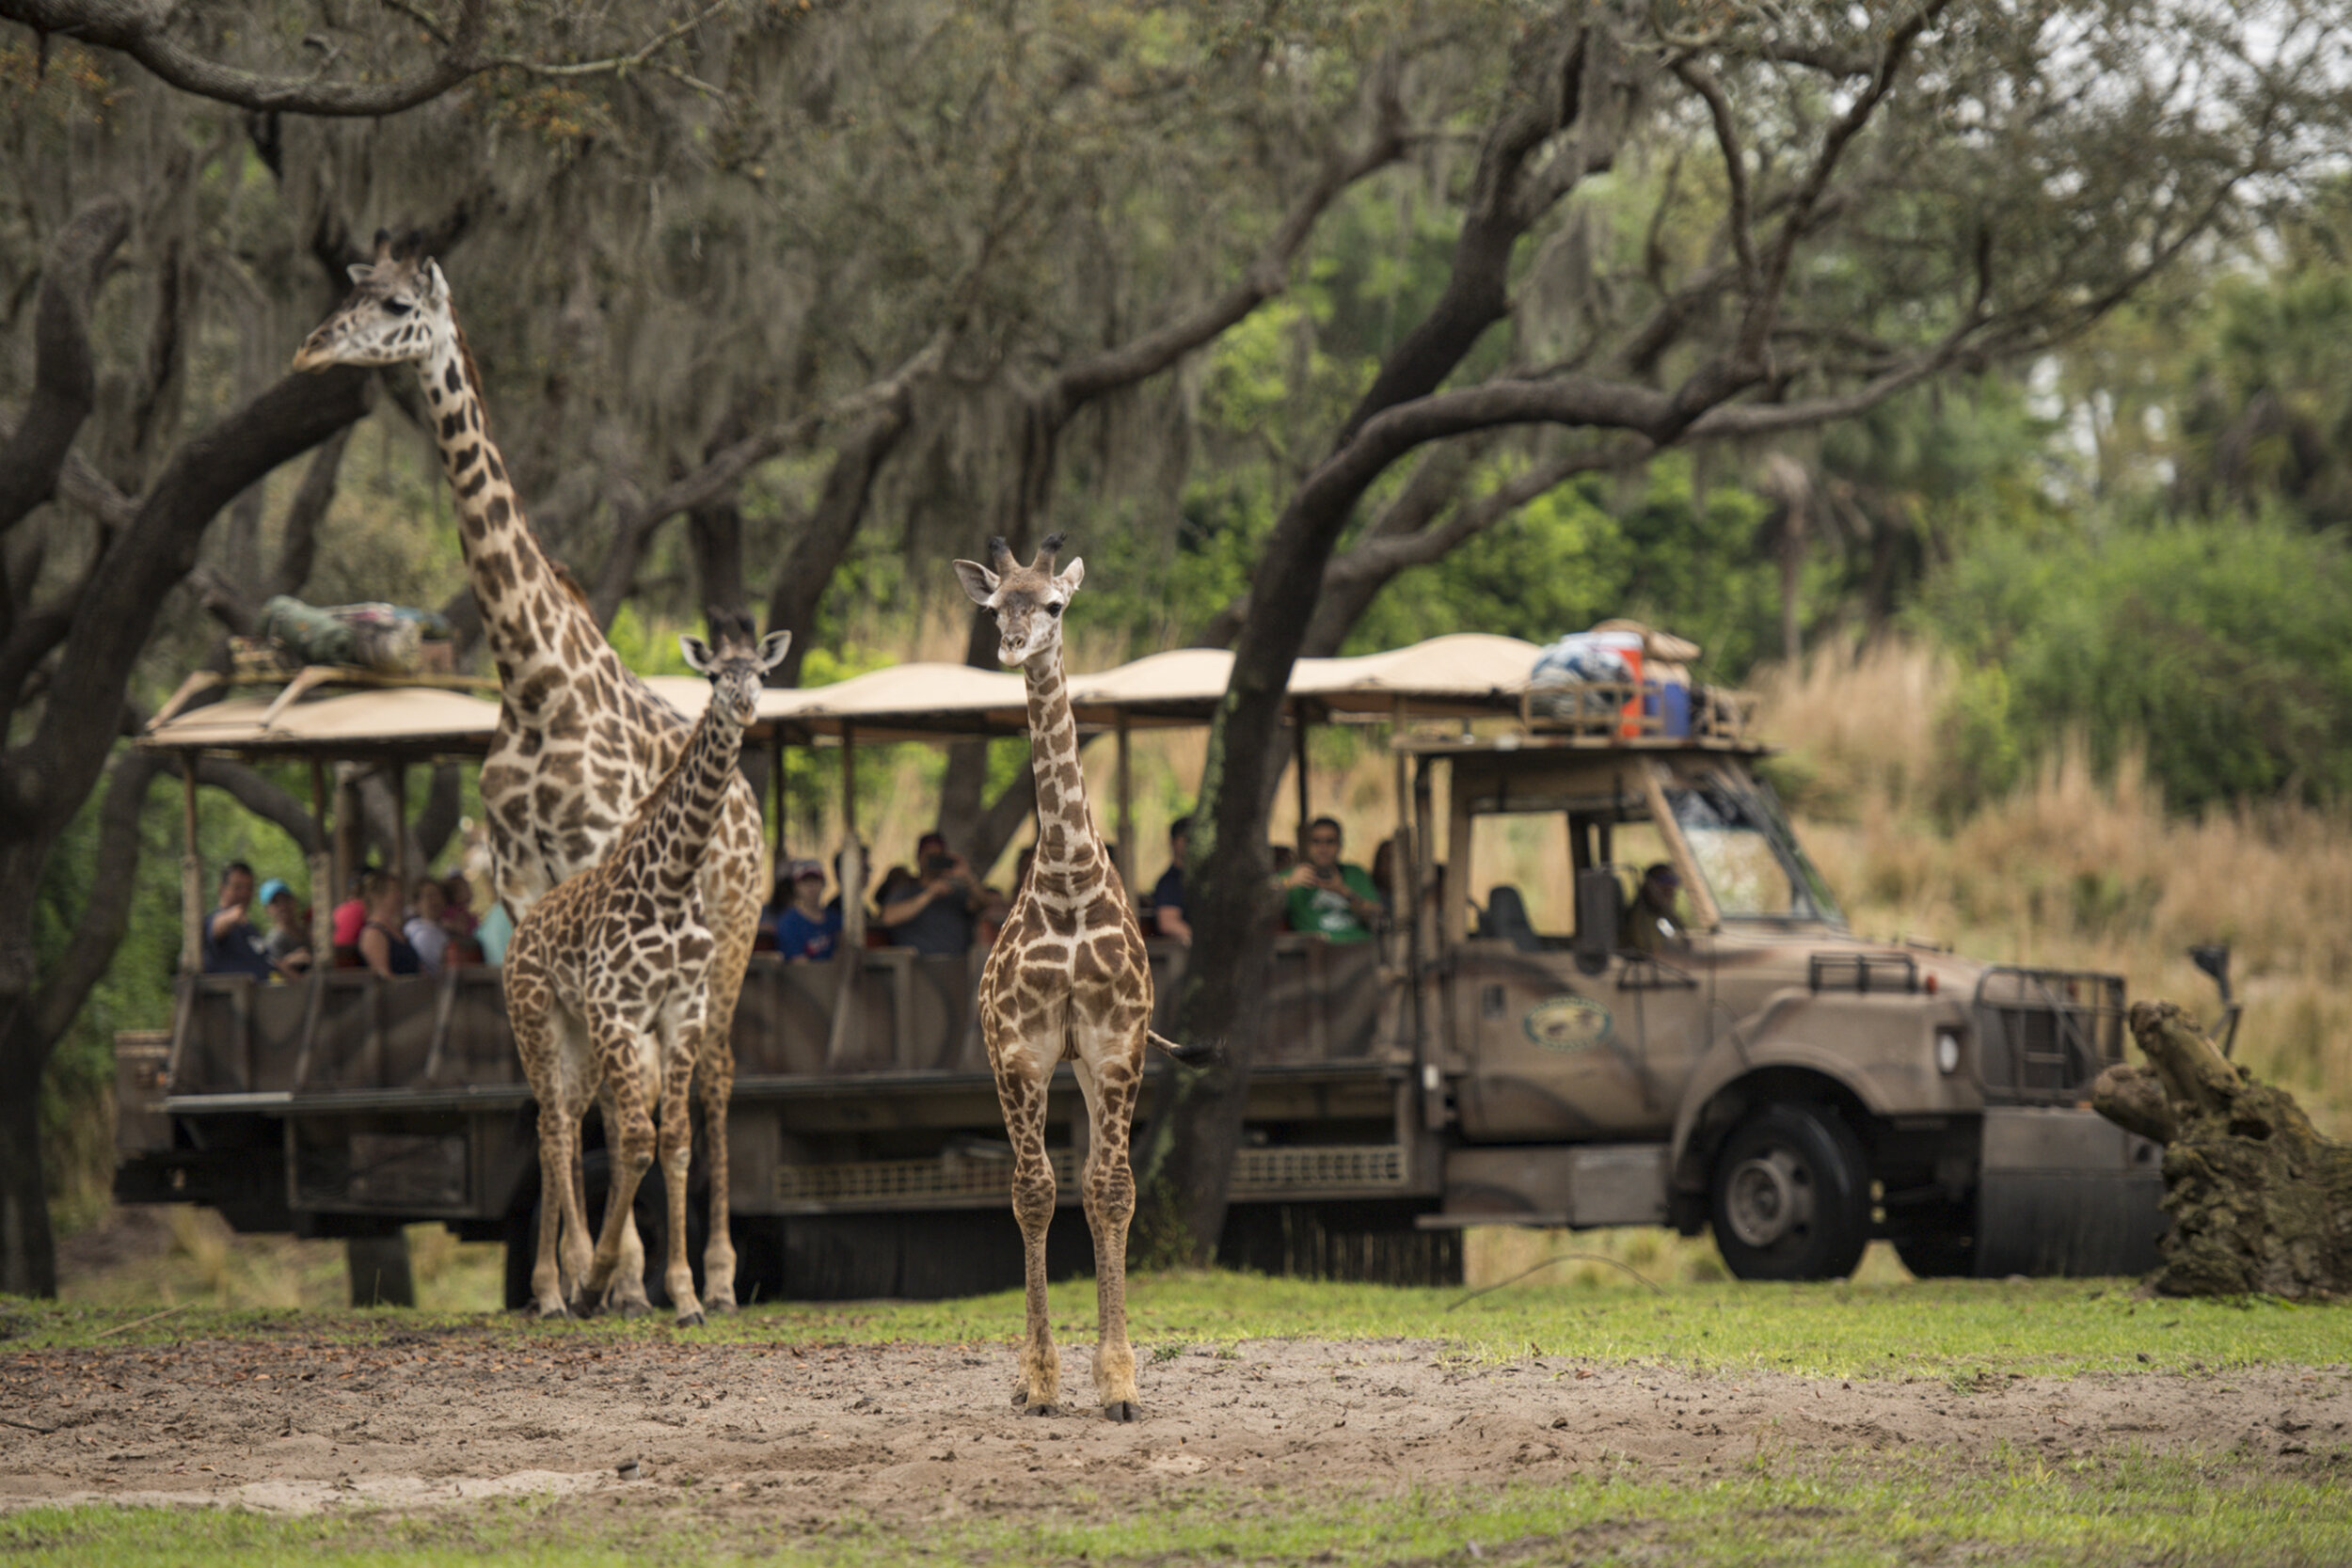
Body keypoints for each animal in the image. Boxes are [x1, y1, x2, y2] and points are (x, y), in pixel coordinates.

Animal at [289, 230, 757, 1316]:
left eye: (397, 307)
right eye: (351, 292)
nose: (312, 351)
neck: (533, 677)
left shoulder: (595, 862)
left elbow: (627, 1101)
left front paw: (624, 1276)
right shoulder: (519, 884)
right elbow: (555, 1093)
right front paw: (562, 1274)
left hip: (735, 934)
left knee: (711, 1079)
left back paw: (714, 1274)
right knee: (610, 1085)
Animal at [503, 615, 795, 1325]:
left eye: (762, 673)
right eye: (714, 675)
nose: (745, 705)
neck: (672, 880)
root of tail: (522, 926)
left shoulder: (679, 1012)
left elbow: (678, 1139)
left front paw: (687, 1294)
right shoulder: (620, 1011)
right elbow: (637, 1136)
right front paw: (602, 1280)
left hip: (579, 1034)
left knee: (562, 1122)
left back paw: (562, 1285)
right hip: (537, 1019)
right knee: (554, 1125)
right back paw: (556, 1288)